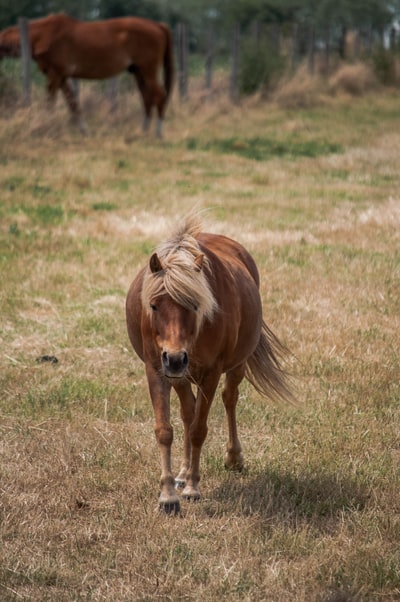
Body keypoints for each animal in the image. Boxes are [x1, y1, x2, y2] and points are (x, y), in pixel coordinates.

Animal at [0, 13, 175, 136]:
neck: (43, 35)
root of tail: (158, 25)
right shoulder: (62, 77)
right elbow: (73, 103)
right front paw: (83, 130)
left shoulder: (54, 76)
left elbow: (50, 103)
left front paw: (45, 124)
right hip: (139, 72)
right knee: (147, 97)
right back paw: (143, 131)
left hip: (148, 70)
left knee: (159, 95)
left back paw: (158, 133)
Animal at [126, 216, 296, 510]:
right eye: (154, 305)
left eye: (195, 305)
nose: (175, 358)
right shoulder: (156, 370)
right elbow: (165, 429)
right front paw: (168, 494)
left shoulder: (211, 373)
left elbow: (199, 430)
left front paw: (193, 488)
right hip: (179, 376)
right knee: (188, 411)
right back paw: (183, 471)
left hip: (235, 365)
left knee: (229, 399)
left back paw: (233, 458)